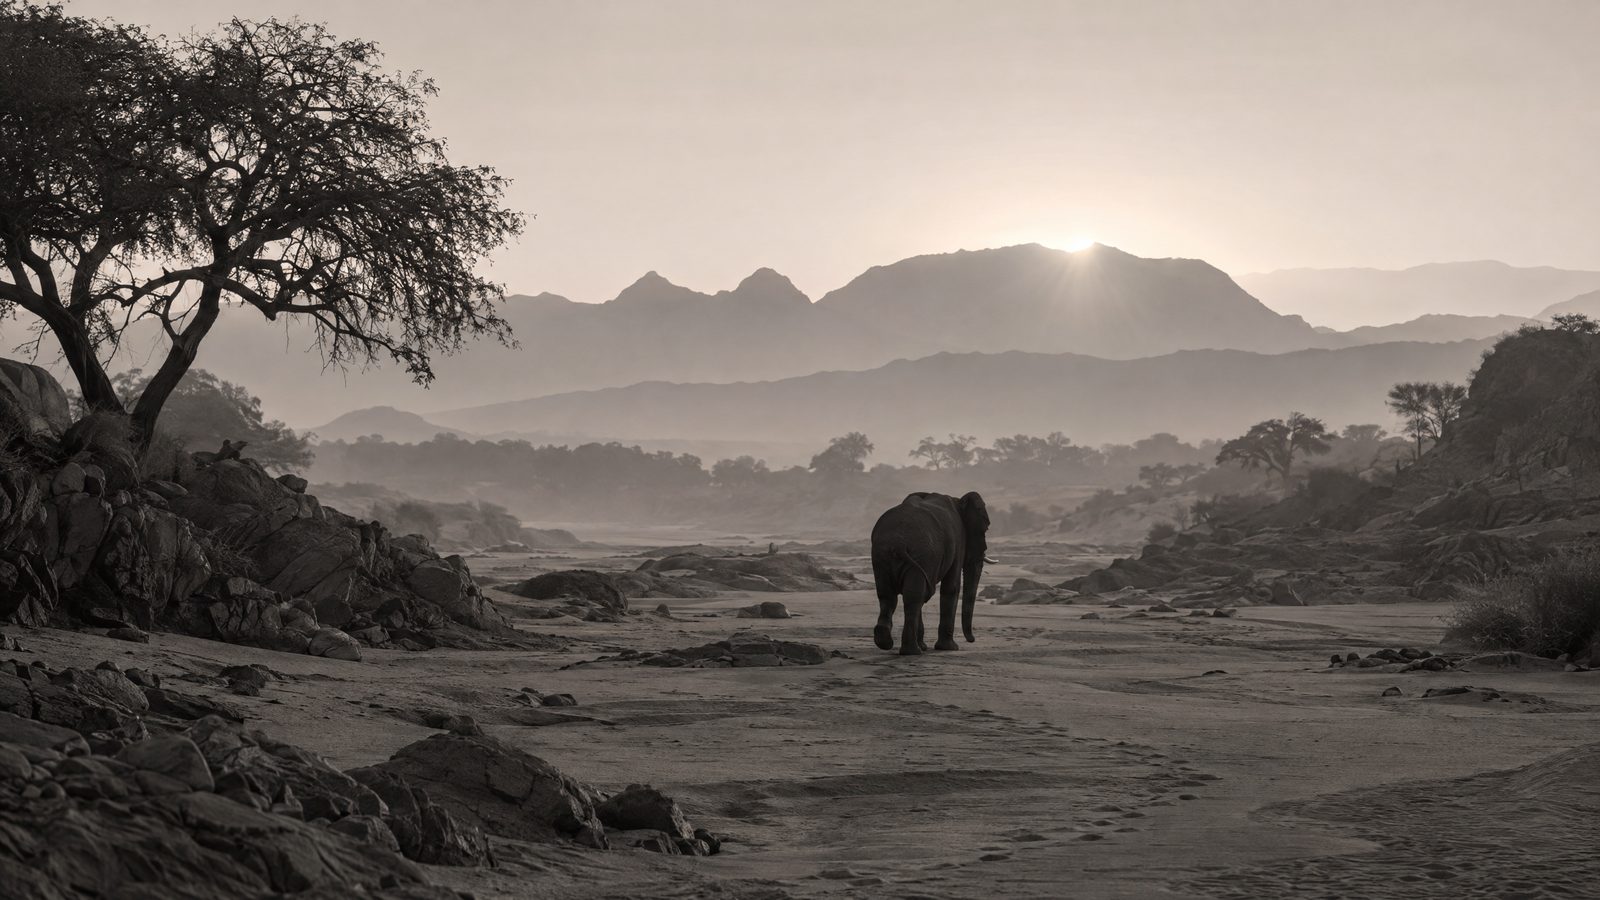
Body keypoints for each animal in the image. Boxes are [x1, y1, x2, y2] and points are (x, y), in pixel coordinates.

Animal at [870, 491, 994, 655]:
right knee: (913, 597)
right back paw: (912, 651)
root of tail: (898, 542)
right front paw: (950, 648)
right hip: (920, 555)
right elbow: (952, 587)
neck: (958, 501)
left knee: (889, 596)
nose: (972, 640)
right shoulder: (958, 540)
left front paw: (929, 646)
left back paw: (885, 642)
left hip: (881, 556)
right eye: (985, 528)